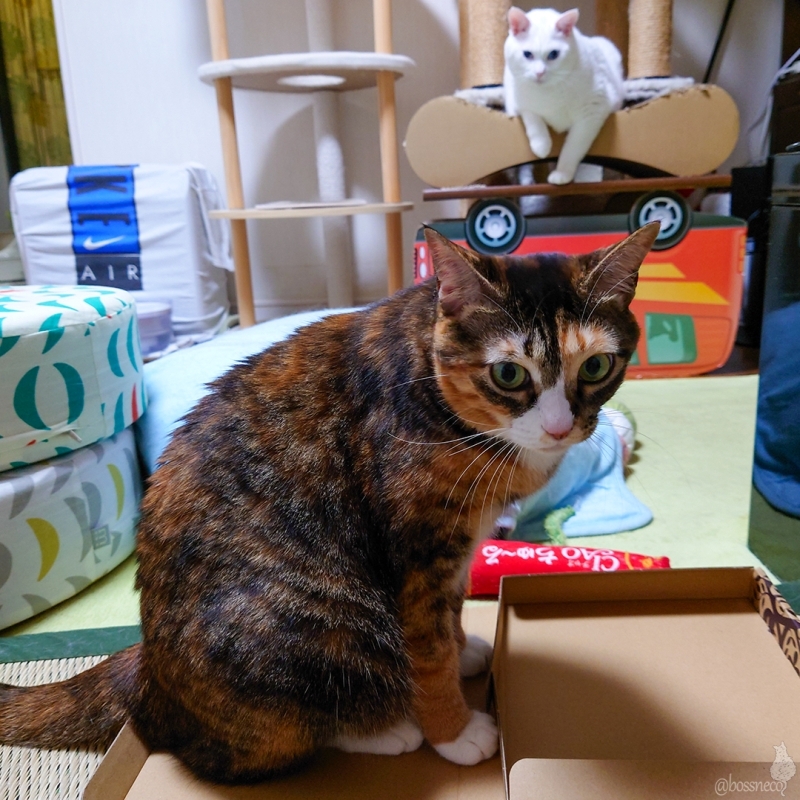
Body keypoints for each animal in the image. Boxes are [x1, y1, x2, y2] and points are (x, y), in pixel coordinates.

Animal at [0, 223, 659, 784]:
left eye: (597, 365)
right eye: (509, 374)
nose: (559, 427)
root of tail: (147, 676)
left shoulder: (457, 548)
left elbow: (450, 614)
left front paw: (464, 646)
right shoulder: (416, 552)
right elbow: (426, 650)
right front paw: (452, 730)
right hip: (321, 621)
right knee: (255, 747)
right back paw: (389, 731)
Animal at [503, 7, 624, 185]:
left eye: (554, 54)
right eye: (527, 54)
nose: (539, 73)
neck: (549, 91)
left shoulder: (592, 113)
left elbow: (572, 148)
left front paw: (562, 173)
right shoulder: (517, 102)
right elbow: (533, 120)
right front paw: (541, 145)